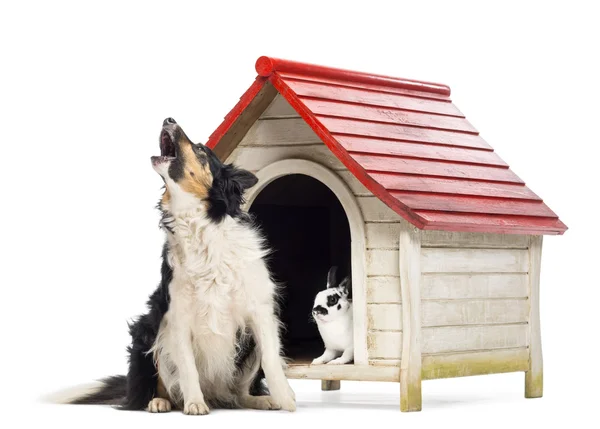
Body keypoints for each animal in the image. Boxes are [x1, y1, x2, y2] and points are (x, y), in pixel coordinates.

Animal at [62, 118, 296, 412]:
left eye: (201, 149)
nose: (169, 119)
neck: (198, 225)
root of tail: (216, 393)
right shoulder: (176, 317)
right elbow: (187, 367)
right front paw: (194, 403)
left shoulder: (259, 309)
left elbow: (271, 359)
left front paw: (285, 398)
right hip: (148, 330)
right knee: (158, 384)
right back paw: (160, 401)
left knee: (239, 392)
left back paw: (261, 400)